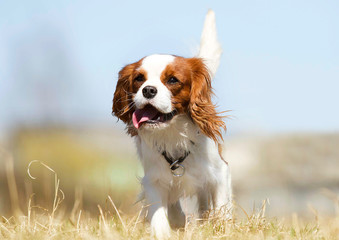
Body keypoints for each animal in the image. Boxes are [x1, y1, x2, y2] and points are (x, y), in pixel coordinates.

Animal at [113, 9, 232, 240]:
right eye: (139, 78)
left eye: (173, 80)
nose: (148, 90)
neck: (173, 133)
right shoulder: (154, 180)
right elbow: (160, 214)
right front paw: (166, 229)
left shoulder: (220, 173)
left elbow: (222, 209)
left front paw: (221, 229)